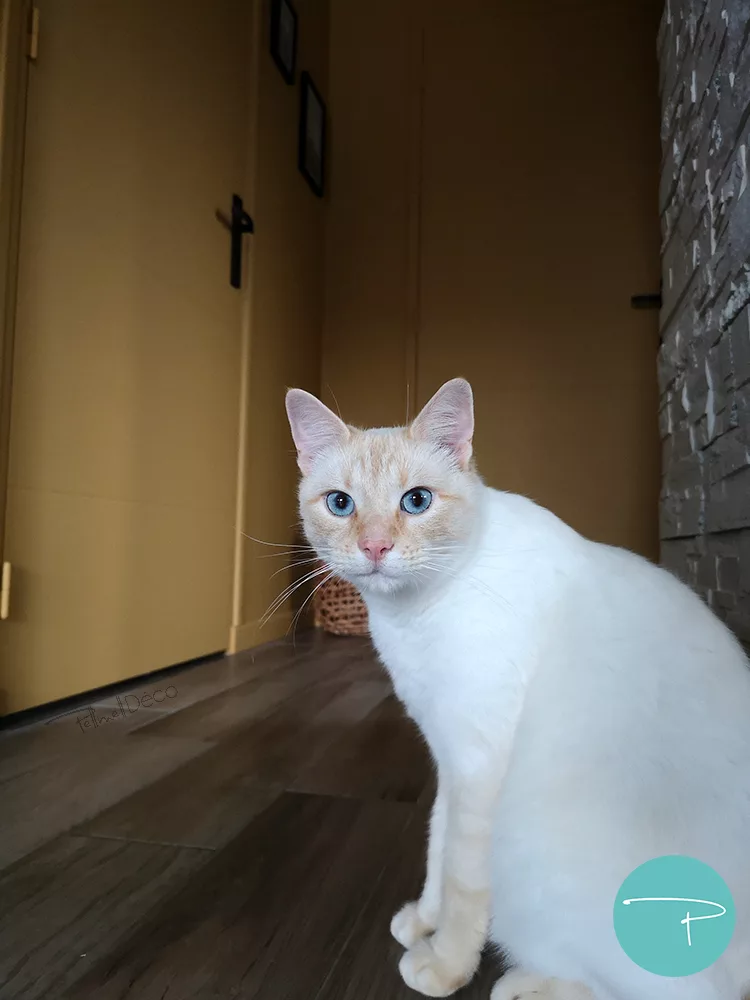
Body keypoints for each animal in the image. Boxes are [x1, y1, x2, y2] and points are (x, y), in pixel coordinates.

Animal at [284, 376, 748, 1000]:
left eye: (416, 502)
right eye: (340, 504)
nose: (375, 548)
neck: (412, 615)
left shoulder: (480, 763)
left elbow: (462, 880)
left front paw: (444, 963)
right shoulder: (449, 754)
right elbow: (437, 844)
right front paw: (423, 920)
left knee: (669, 988)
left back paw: (523, 984)